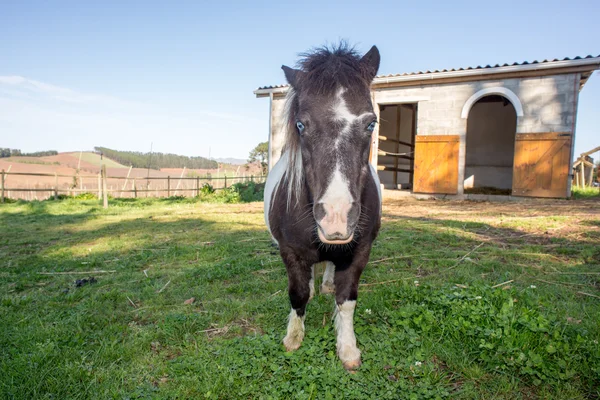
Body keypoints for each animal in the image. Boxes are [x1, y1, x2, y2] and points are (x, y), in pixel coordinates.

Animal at [264, 42, 382, 370]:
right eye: (300, 124)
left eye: (371, 122)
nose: (336, 217)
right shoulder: (290, 253)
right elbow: (298, 294)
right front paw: (293, 338)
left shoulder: (359, 252)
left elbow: (347, 300)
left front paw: (348, 349)